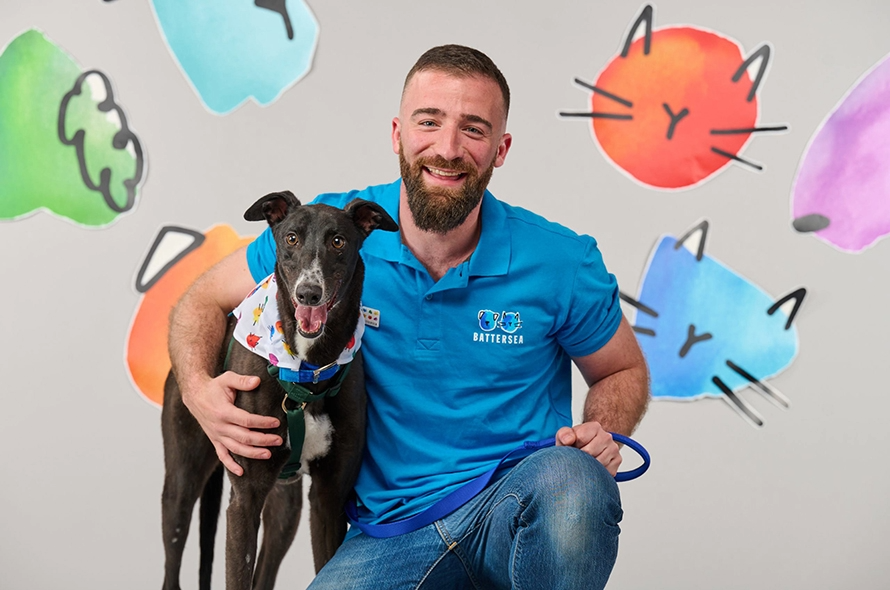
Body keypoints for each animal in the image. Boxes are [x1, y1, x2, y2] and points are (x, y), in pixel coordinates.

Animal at [160, 192, 396, 588]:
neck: (308, 371)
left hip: (285, 506)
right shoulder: (245, 500)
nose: (309, 293)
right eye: (291, 238)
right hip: (181, 480)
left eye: (338, 241)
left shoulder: (329, 499)